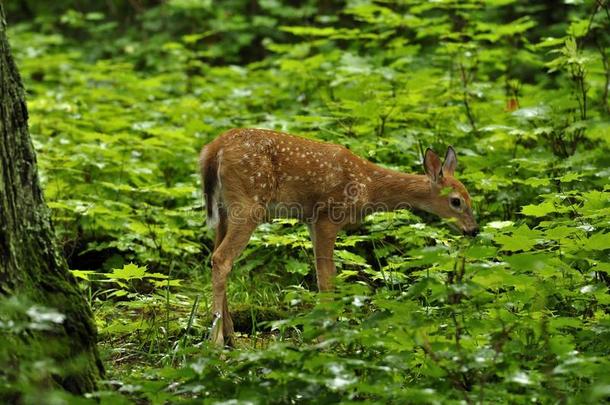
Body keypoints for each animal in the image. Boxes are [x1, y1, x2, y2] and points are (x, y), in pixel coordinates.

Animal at [198, 128, 476, 346]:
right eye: (456, 201)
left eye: (469, 198)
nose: (473, 230)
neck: (369, 187)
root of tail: (214, 149)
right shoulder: (328, 216)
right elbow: (326, 278)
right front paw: (325, 337)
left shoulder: (311, 220)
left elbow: (328, 275)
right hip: (248, 204)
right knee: (222, 258)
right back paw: (217, 342)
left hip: (225, 210)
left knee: (217, 258)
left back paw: (231, 335)